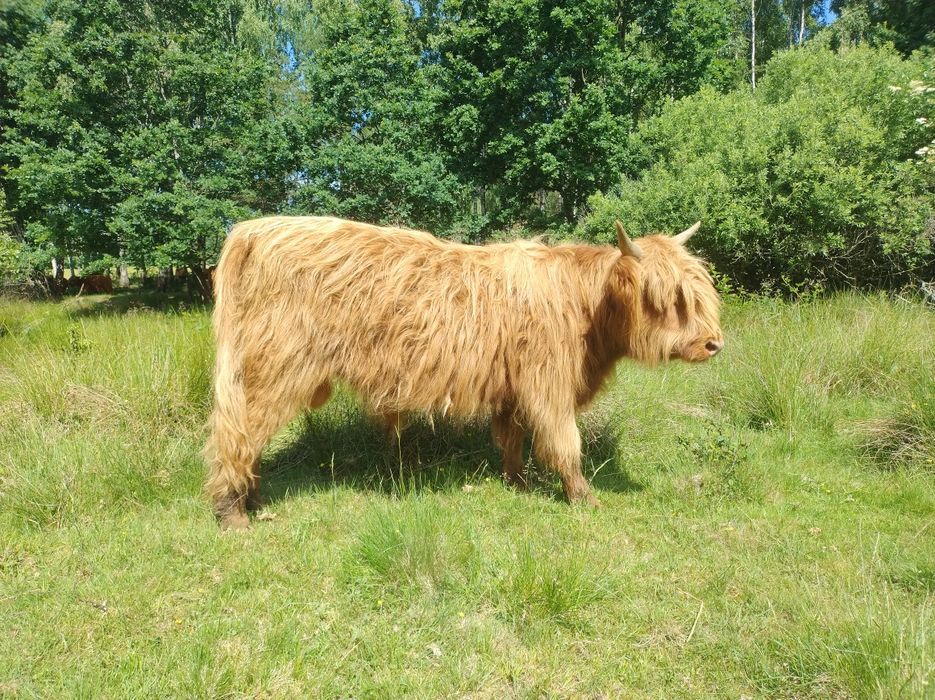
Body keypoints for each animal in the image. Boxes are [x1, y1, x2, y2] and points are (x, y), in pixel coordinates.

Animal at [205, 216, 724, 530]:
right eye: (672, 299)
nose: (713, 343)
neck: (585, 308)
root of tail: (255, 229)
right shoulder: (549, 384)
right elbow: (565, 444)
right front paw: (584, 498)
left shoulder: (514, 388)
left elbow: (513, 439)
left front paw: (517, 483)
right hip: (276, 371)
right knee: (237, 436)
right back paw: (234, 513)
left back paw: (253, 501)